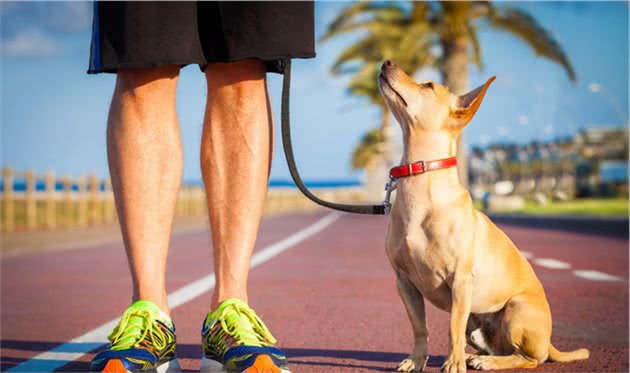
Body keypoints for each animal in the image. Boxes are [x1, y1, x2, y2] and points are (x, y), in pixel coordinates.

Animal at [380, 59, 592, 370]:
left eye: (428, 85)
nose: (387, 62)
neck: (419, 185)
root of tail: (549, 342)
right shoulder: (404, 283)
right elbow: (420, 327)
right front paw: (416, 360)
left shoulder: (460, 281)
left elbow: (452, 328)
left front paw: (452, 364)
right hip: (477, 324)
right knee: (498, 348)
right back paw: (475, 357)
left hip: (515, 309)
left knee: (528, 359)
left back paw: (486, 362)